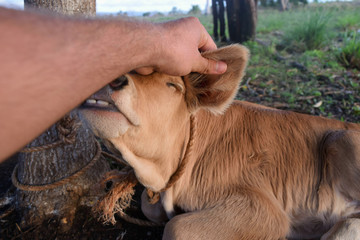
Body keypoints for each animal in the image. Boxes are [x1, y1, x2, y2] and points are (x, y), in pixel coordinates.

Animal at [79, 45, 360, 240]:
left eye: (173, 85)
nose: (112, 80)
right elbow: (152, 209)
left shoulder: (263, 209)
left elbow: (176, 227)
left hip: (342, 139)